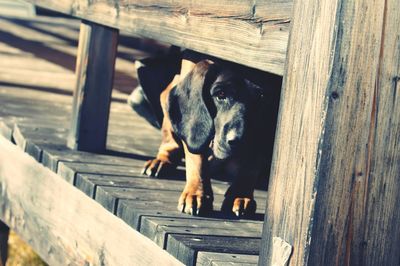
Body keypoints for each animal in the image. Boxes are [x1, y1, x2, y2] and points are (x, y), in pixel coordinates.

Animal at [143, 59, 278, 217]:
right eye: (220, 94)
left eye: (261, 99)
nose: (239, 142)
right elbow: (196, 158)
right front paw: (196, 193)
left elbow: (250, 167)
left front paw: (240, 195)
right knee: (170, 142)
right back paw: (162, 160)